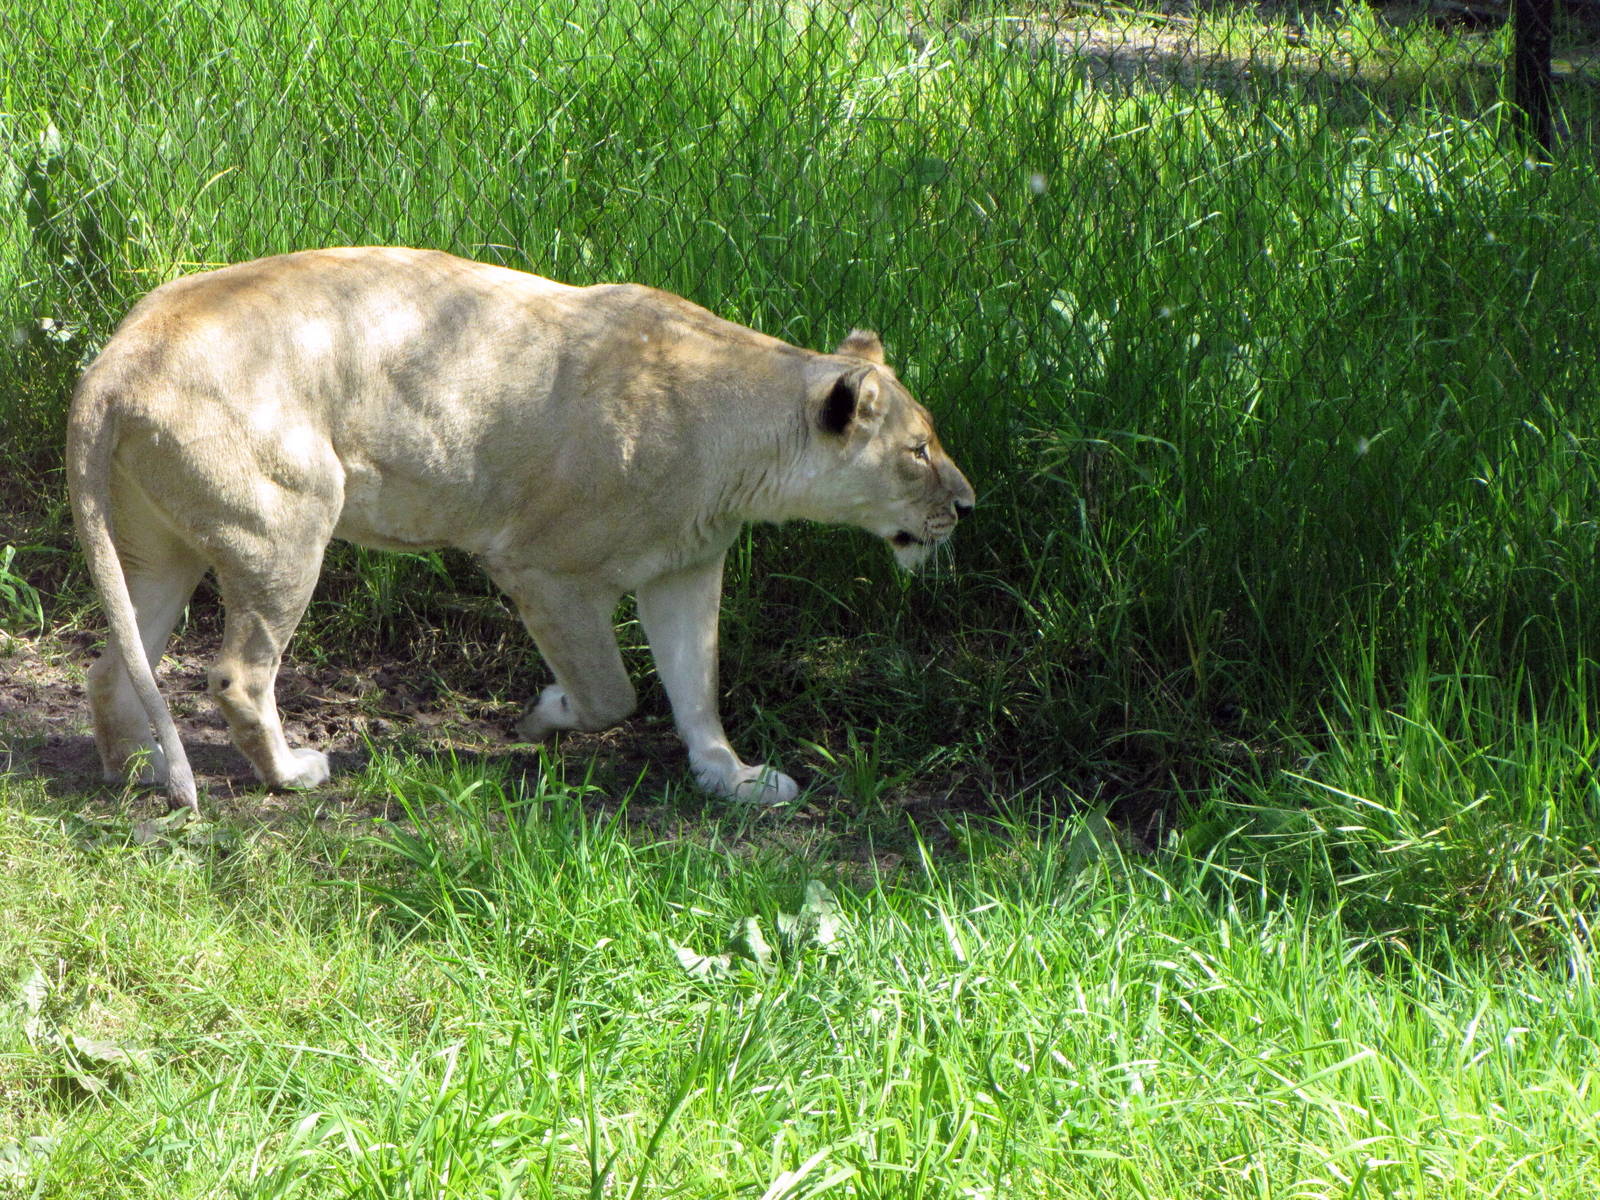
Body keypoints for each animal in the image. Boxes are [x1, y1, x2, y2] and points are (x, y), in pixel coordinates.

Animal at [66, 247, 974, 811]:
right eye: (919, 451)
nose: (967, 506)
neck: (741, 430)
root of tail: (119, 357)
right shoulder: (542, 568)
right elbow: (613, 693)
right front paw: (546, 713)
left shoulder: (686, 568)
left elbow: (697, 682)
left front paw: (732, 778)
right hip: (288, 527)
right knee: (238, 676)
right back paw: (291, 774)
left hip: (161, 552)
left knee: (114, 668)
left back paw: (137, 773)